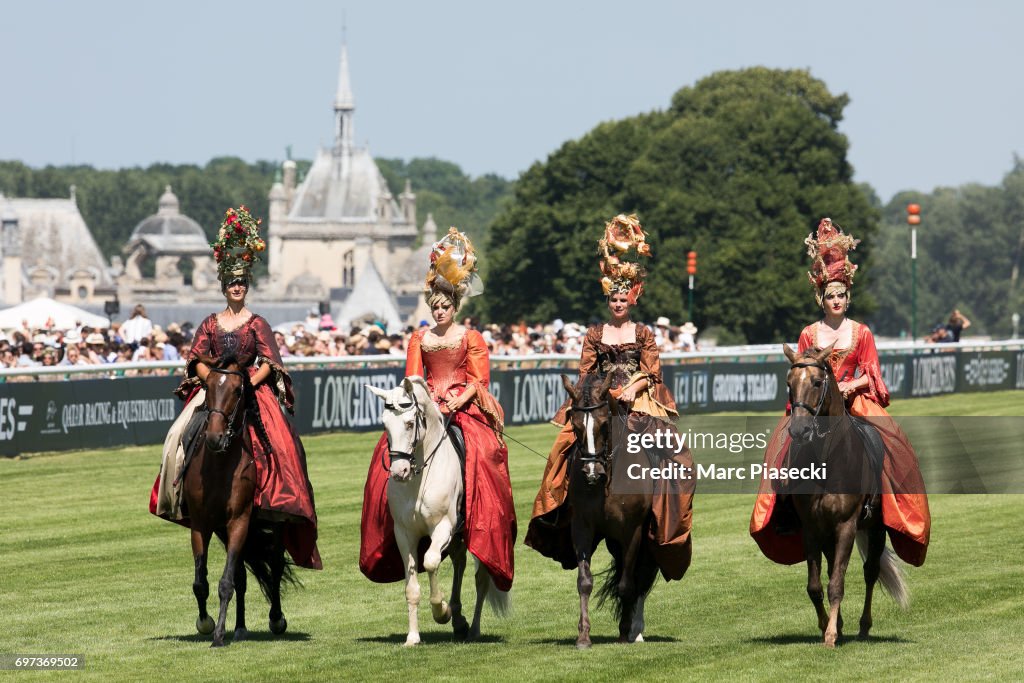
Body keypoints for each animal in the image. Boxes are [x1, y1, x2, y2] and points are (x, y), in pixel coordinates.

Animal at [182, 356, 294, 651]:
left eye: (237, 391)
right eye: (207, 387)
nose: (215, 437)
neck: (220, 466)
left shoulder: (239, 521)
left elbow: (226, 582)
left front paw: (219, 635)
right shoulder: (202, 524)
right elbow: (201, 582)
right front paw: (206, 623)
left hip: (272, 525)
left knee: (275, 566)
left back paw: (276, 619)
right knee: (242, 576)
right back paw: (241, 628)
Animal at [370, 376, 509, 651]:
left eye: (410, 423)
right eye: (385, 425)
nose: (398, 472)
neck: (421, 476)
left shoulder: (443, 526)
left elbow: (431, 561)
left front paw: (441, 611)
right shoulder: (404, 534)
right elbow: (411, 586)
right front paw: (413, 637)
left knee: (481, 580)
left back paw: (472, 628)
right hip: (457, 538)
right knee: (459, 563)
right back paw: (459, 620)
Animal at [561, 376, 663, 651]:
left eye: (604, 424)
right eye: (575, 425)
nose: (591, 472)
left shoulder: (633, 532)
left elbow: (627, 584)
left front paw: (624, 633)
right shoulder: (581, 528)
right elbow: (584, 582)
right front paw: (583, 636)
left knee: (641, 577)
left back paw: (636, 630)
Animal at [778, 344, 909, 651]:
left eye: (817, 382)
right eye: (789, 384)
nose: (799, 430)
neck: (828, 460)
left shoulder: (847, 526)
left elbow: (837, 583)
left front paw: (830, 636)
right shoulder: (812, 528)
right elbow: (815, 586)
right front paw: (829, 625)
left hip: (876, 528)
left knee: (870, 571)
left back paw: (863, 627)